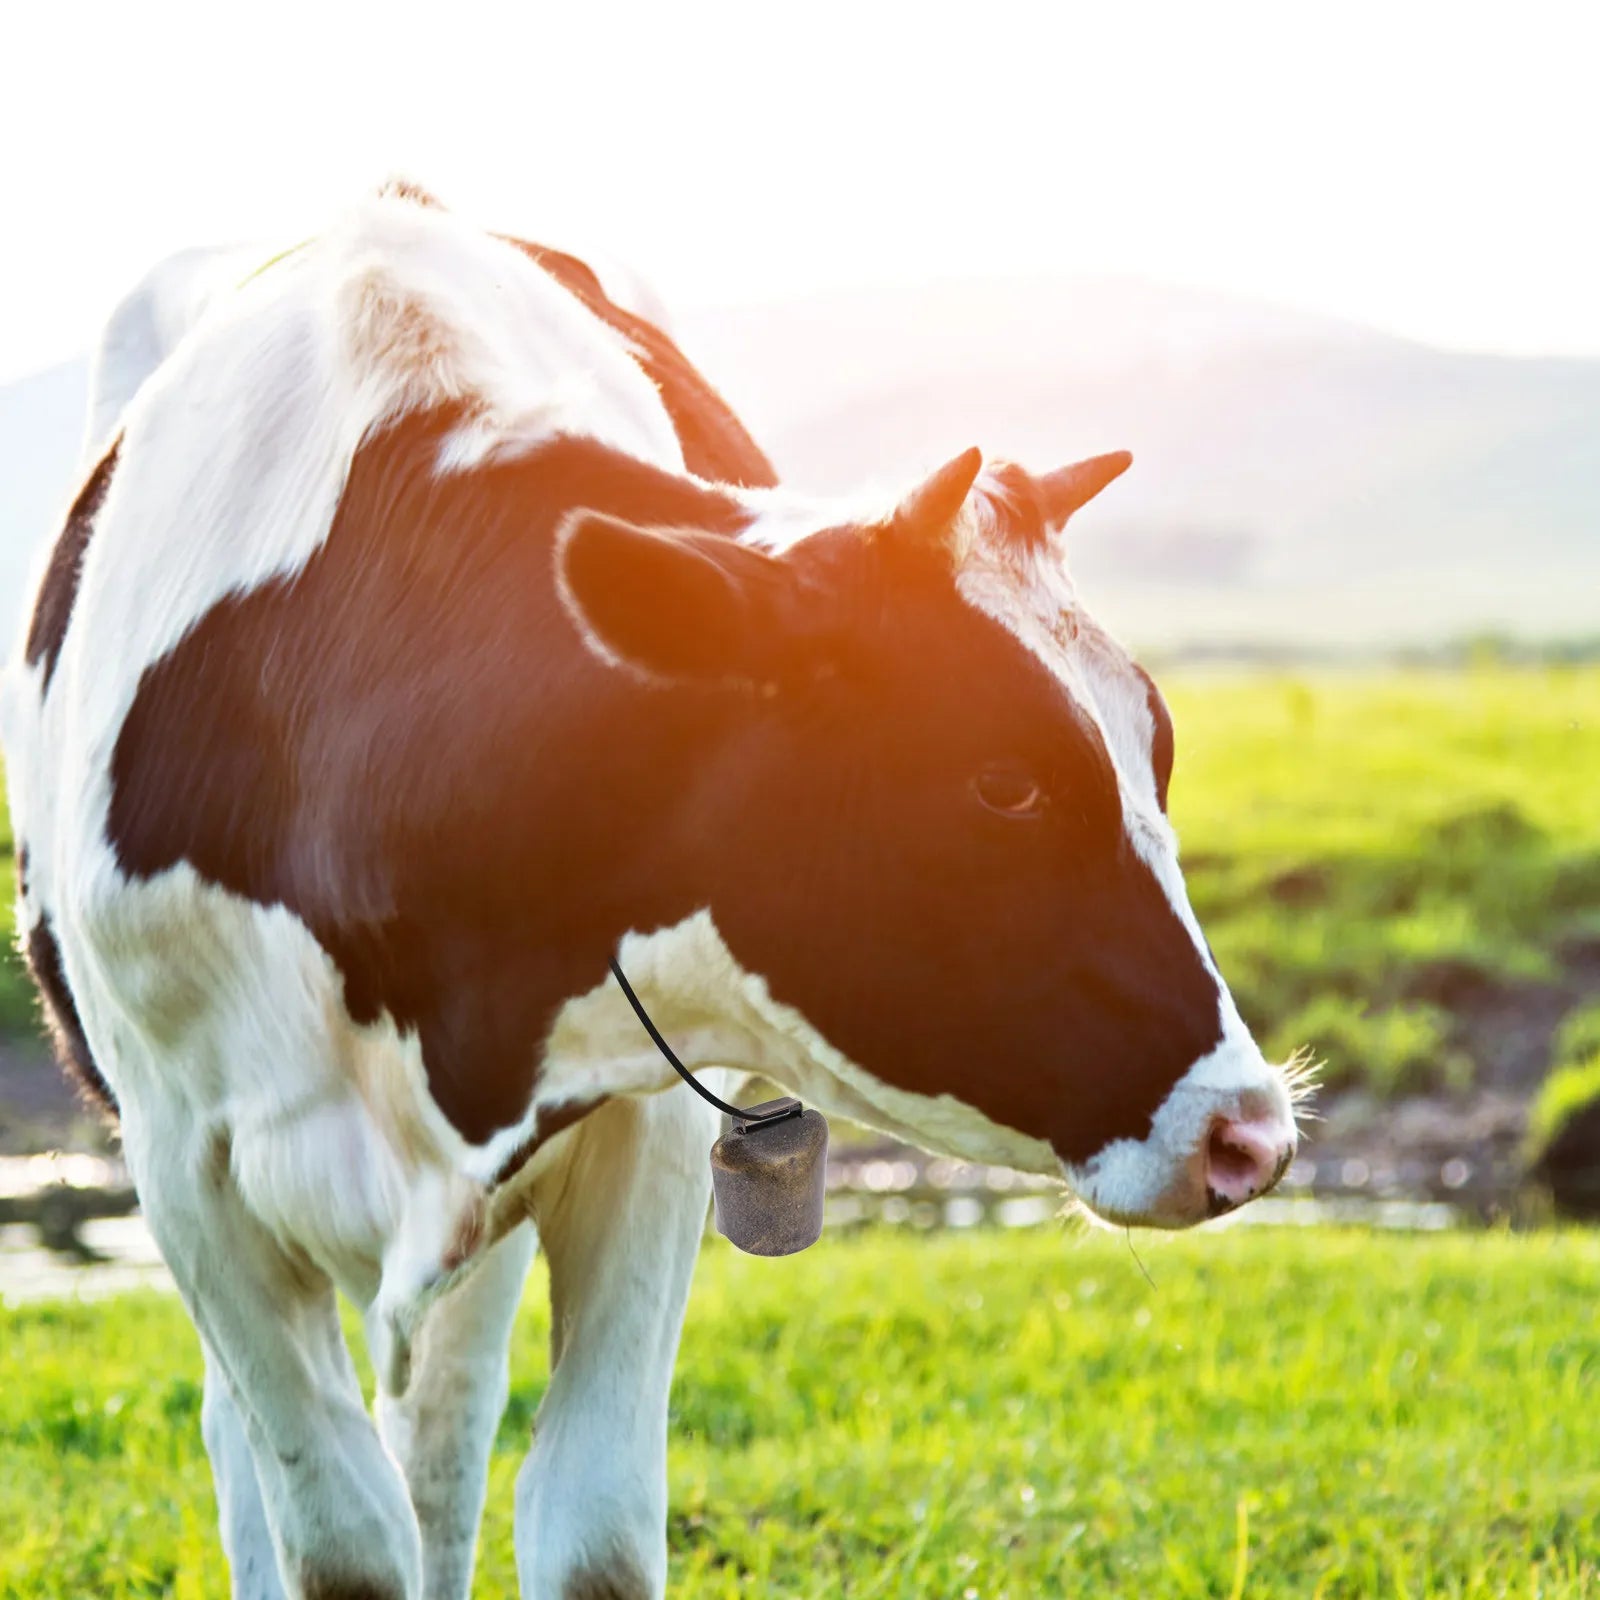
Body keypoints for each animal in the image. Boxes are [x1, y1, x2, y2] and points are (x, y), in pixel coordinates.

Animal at [1, 182, 1306, 1600]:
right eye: (1002, 783)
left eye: (1156, 747)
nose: (1250, 1132)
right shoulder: (186, 1165)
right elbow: (338, 1537)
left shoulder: (643, 1128)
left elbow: (590, 1529)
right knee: (255, 1450)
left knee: (444, 1429)